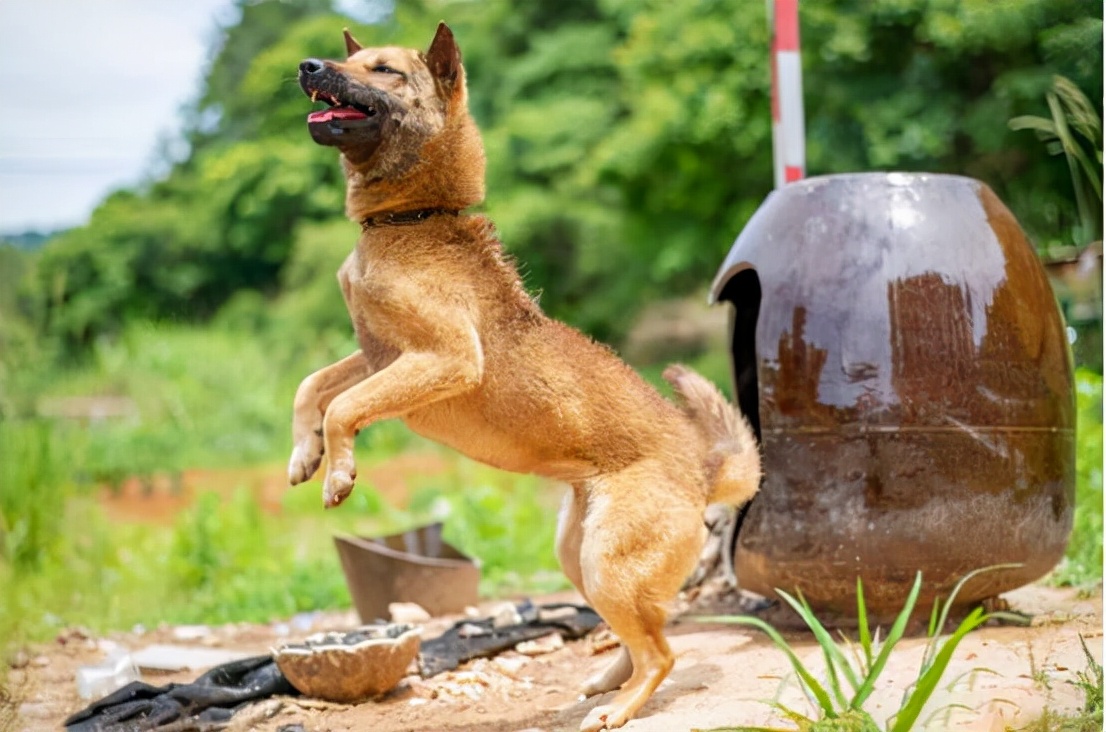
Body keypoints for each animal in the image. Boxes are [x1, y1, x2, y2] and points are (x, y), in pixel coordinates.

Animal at [289, 24, 765, 732]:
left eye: (383, 70)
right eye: (353, 57)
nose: (308, 66)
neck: (415, 219)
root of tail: (704, 469)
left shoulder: (443, 359)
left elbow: (342, 406)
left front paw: (340, 472)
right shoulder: (377, 356)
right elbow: (313, 388)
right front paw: (305, 455)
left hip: (605, 562)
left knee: (662, 652)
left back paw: (620, 708)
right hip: (581, 559)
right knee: (643, 636)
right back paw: (608, 682)